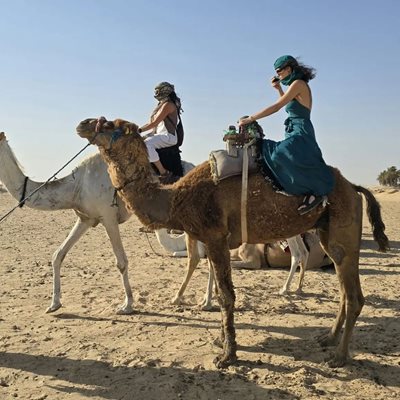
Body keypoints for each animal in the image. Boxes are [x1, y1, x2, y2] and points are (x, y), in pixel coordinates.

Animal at [0, 133, 195, 314]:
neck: (76, 186)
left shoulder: (108, 216)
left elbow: (121, 262)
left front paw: (127, 305)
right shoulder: (86, 219)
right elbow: (58, 255)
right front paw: (54, 304)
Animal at [76, 116, 390, 368]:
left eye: (111, 124)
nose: (83, 123)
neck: (175, 198)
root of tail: (353, 187)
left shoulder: (215, 236)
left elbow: (227, 295)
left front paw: (227, 355)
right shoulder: (216, 241)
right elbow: (218, 288)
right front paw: (221, 340)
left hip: (343, 231)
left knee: (355, 296)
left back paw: (339, 357)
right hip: (328, 234)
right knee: (344, 290)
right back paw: (327, 338)